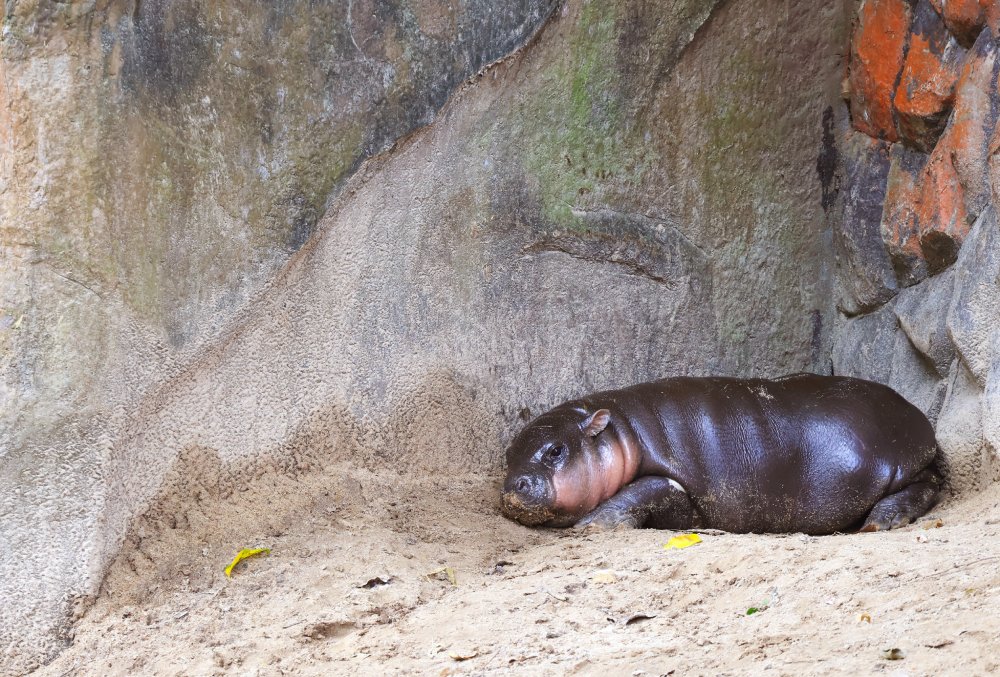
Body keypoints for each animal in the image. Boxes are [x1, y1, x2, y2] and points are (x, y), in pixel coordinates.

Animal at [501, 374, 942, 534]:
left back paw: (881, 522)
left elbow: (638, 492)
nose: (513, 486)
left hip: (897, 465)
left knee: (924, 486)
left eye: (556, 450)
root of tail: (916, 417)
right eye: (507, 453)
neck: (621, 432)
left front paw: (591, 525)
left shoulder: (670, 483)